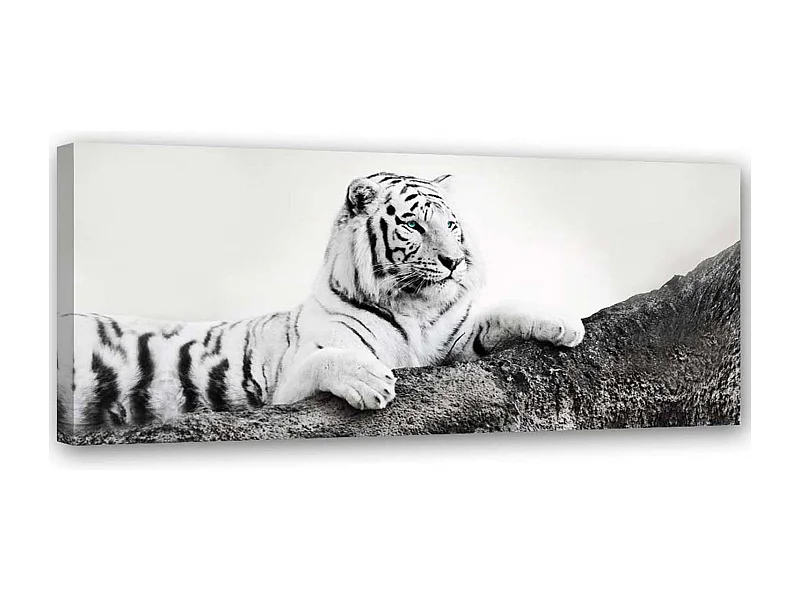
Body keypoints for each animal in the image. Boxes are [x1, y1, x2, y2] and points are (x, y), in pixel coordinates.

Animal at [57, 172, 584, 431]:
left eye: (451, 226)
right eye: (414, 225)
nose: (455, 262)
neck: (415, 308)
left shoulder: (454, 341)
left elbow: (500, 314)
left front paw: (565, 324)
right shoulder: (287, 383)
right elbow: (328, 359)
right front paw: (372, 382)